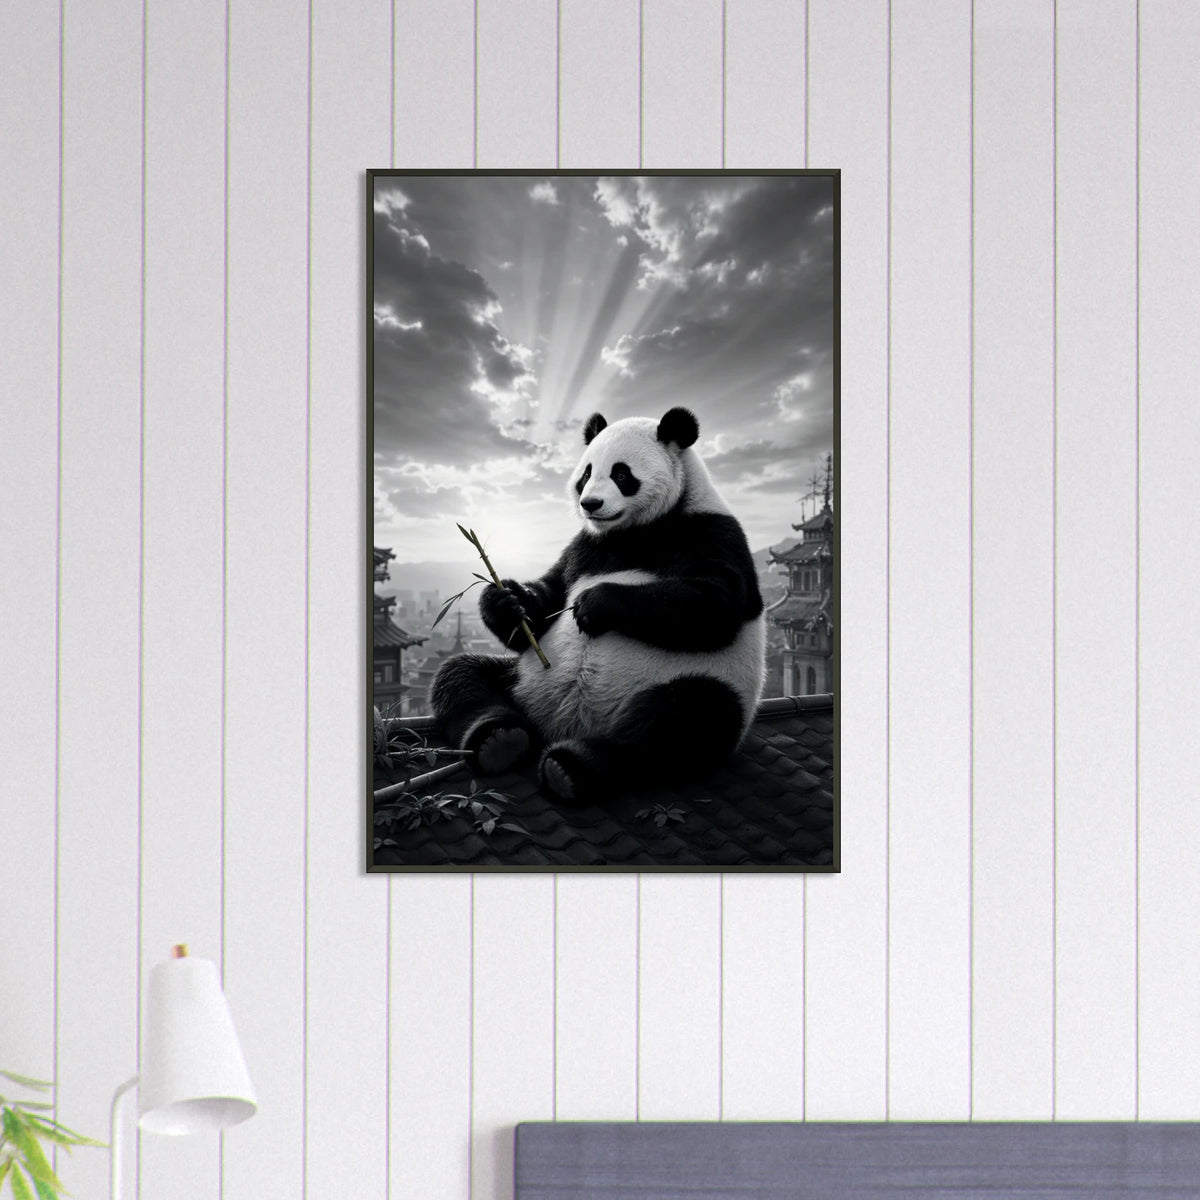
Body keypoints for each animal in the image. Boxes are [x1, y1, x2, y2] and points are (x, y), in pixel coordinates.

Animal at [431, 405, 766, 805]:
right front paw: (507, 600)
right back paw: (498, 740)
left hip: (701, 681)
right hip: (518, 680)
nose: (590, 504)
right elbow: (546, 602)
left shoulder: (709, 531)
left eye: (622, 474)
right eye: (587, 473)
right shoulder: (583, 546)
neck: (635, 529)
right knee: (463, 678)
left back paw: (572, 768)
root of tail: (562, 726)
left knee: (679, 724)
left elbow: (714, 605)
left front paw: (594, 604)